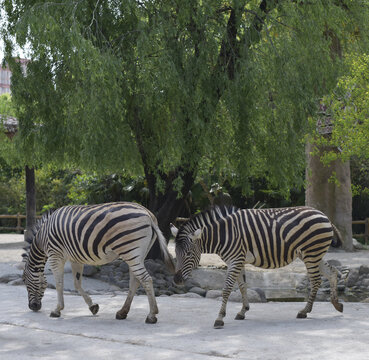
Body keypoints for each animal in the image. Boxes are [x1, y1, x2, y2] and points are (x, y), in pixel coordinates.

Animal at [22, 202, 175, 324]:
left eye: (24, 281)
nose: (33, 307)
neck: (42, 238)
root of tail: (148, 214)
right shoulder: (75, 258)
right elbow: (77, 284)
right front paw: (93, 307)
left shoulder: (55, 255)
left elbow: (59, 284)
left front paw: (57, 310)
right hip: (136, 254)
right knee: (135, 281)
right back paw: (122, 312)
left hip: (130, 251)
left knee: (146, 279)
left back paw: (151, 315)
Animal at [171, 204, 344, 328]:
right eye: (176, 253)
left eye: (188, 254)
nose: (177, 280)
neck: (224, 234)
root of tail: (323, 215)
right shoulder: (237, 261)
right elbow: (242, 286)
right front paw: (243, 311)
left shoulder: (235, 260)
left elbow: (227, 289)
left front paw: (220, 318)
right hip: (312, 254)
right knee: (332, 272)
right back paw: (337, 304)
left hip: (311, 253)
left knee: (316, 280)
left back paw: (305, 311)